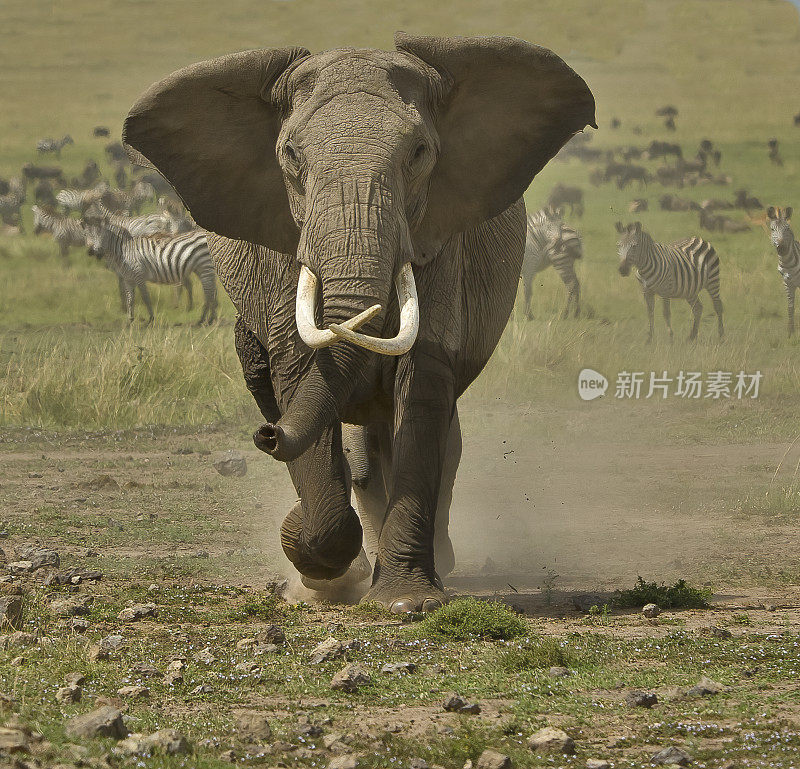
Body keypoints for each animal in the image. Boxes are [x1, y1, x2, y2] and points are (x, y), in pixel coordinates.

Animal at [83, 214, 219, 322]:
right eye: (87, 234)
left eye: (102, 233)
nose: (93, 251)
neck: (124, 250)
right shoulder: (128, 279)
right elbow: (130, 299)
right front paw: (129, 320)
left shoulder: (139, 275)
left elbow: (145, 297)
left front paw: (151, 318)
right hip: (202, 268)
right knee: (211, 291)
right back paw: (211, 318)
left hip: (204, 266)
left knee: (208, 292)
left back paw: (203, 319)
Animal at [122, 33, 596, 616]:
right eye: (290, 155)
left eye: (420, 154)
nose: (266, 433)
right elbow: (300, 371)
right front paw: (322, 570)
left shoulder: (441, 239)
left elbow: (422, 382)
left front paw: (406, 601)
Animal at [764, 206, 796, 334]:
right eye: (772, 229)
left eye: (787, 229)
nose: (782, 248)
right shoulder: (787, 283)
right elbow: (790, 307)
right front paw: (790, 331)